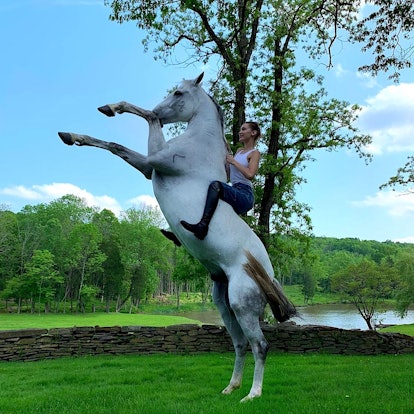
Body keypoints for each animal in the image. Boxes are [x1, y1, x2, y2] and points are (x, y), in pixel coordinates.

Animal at [59, 73, 298, 402]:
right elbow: (130, 129)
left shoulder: (152, 164)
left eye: (178, 93)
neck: (198, 146)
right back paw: (230, 387)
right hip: (223, 302)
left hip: (242, 303)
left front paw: (77, 131)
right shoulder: (149, 168)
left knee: (260, 345)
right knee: (239, 344)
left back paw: (252, 394)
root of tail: (269, 274)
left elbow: (117, 143)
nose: (162, 112)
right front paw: (93, 119)